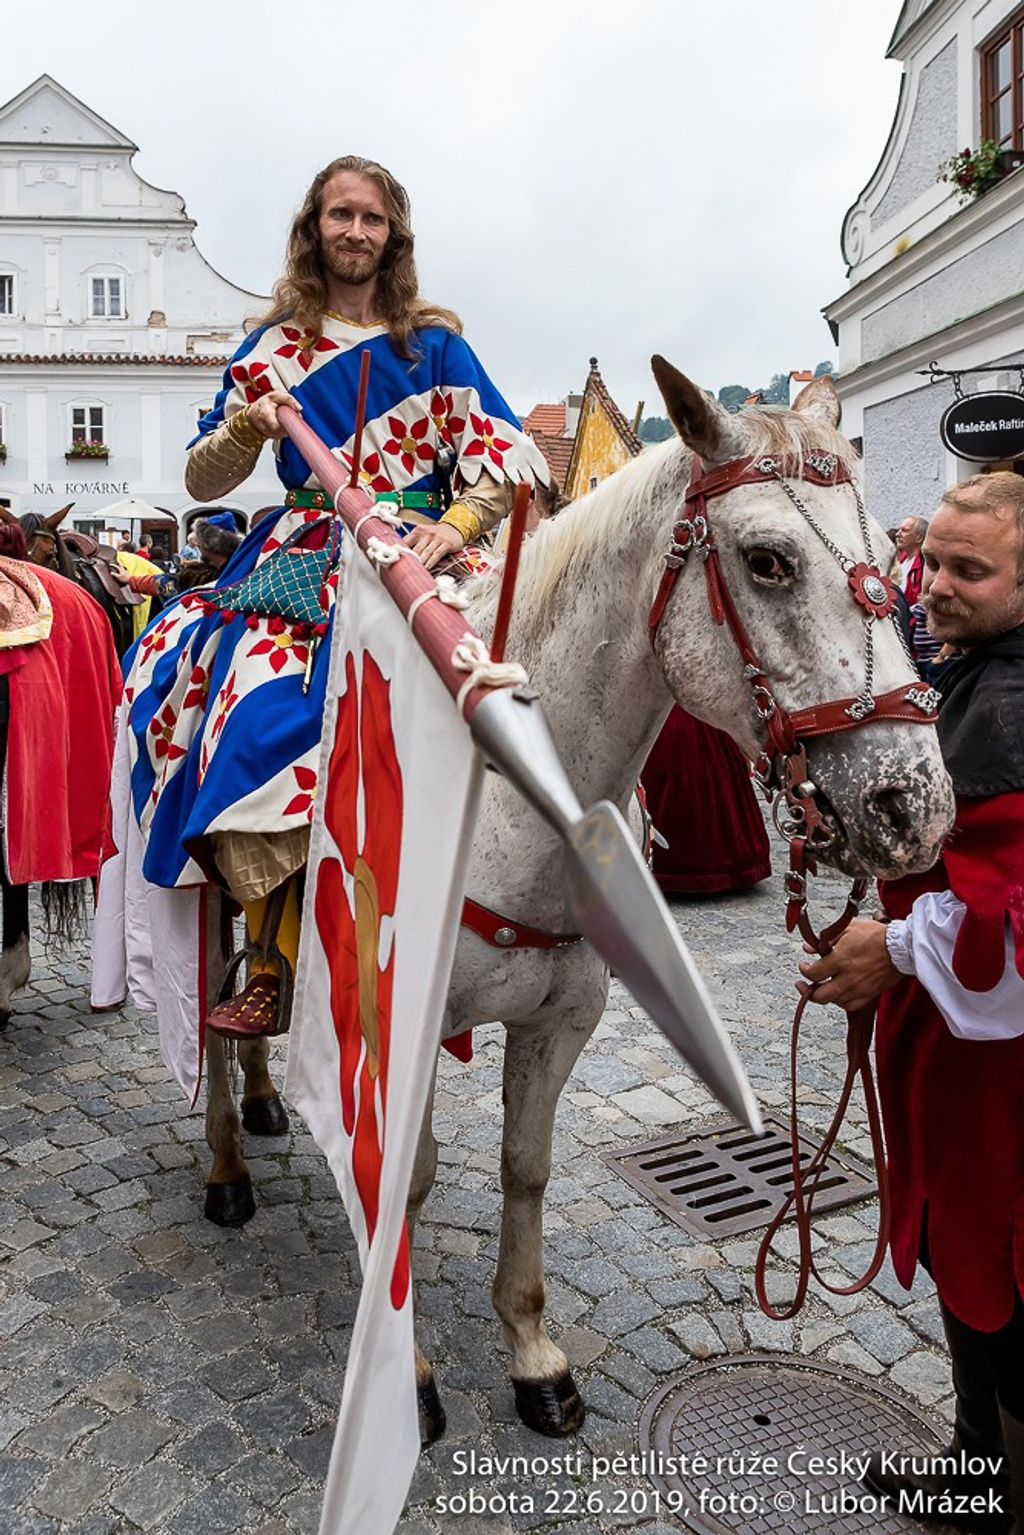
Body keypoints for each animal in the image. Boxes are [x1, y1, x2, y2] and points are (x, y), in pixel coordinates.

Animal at [204, 359, 957, 1436]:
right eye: (767, 561)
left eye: (890, 555)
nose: (911, 803)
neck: (518, 795)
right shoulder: (401, 1018)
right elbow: (406, 1177)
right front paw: (409, 1374)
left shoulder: (563, 1017)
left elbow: (526, 1167)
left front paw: (533, 1354)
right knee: (213, 1036)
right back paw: (227, 1164)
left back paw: (273, 1097)